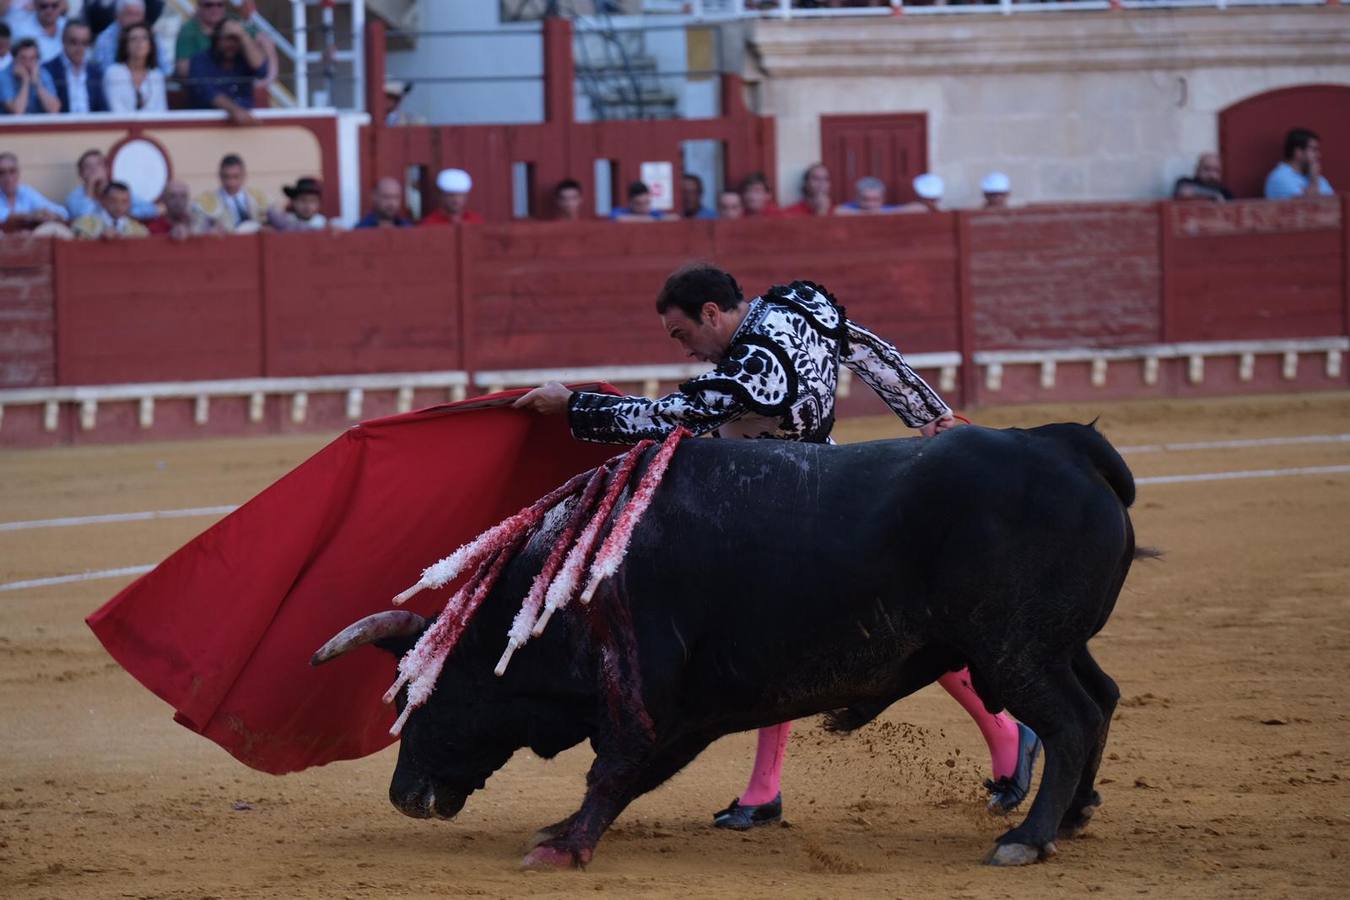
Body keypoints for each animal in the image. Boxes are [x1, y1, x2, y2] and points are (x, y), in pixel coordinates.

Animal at [309, 426, 1139, 868]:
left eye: (426, 700)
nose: (404, 796)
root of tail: (1066, 446)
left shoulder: (655, 697)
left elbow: (615, 769)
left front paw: (564, 846)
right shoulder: (692, 709)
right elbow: (626, 772)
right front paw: (561, 831)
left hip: (1012, 650)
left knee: (1069, 719)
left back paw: (1026, 837)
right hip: (1053, 647)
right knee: (1100, 702)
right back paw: (1072, 815)